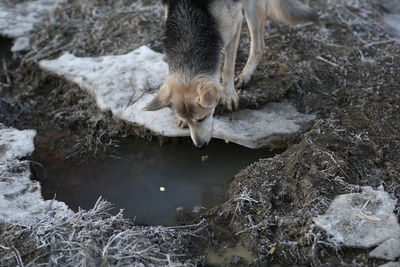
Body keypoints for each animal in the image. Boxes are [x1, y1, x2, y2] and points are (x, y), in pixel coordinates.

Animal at [145, 0, 318, 148]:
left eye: (202, 118)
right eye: (188, 121)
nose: (200, 146)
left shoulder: (235, 24)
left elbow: (227, 67)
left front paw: (228, 95)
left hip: (252, 9)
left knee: (259, 46)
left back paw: (245, 75)